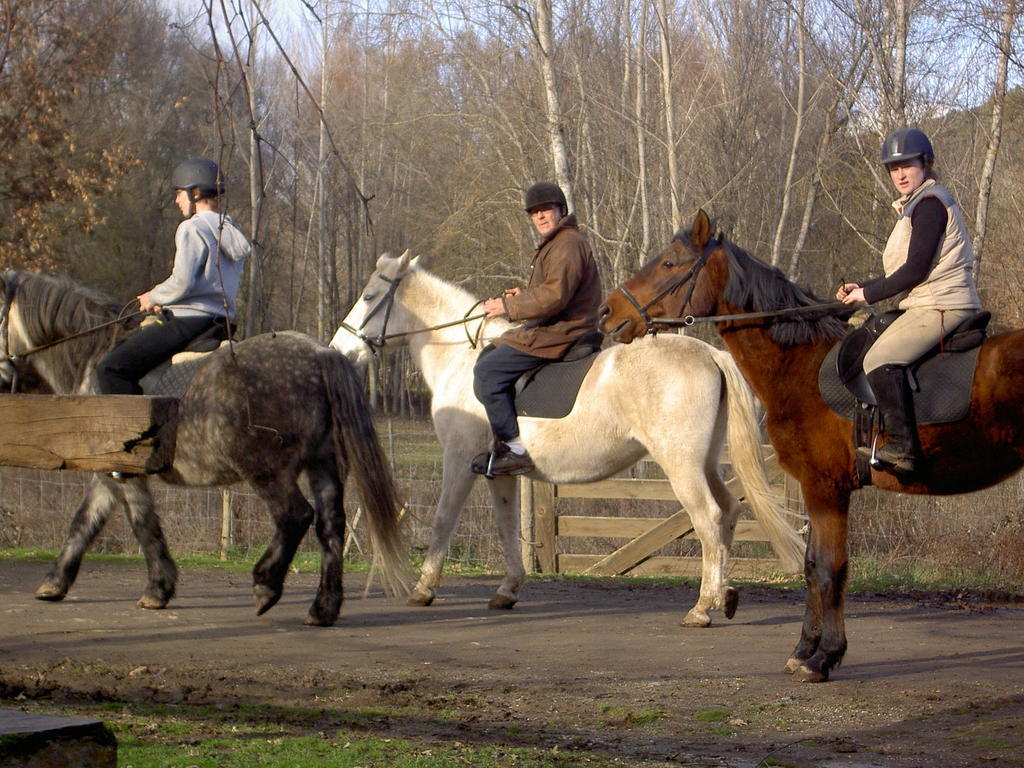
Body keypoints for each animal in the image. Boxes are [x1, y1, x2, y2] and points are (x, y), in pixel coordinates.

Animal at [331, 256, 802, 626]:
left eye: (369, 297)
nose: (340, 351)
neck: (462, 358)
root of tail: (710, 354)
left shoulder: (459, 456)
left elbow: (445, 517)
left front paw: (424, 588)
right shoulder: (497, 470)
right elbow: (506, 525)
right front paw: (508, 589)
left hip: (681, 464)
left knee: (707, 517)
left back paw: (702, 608)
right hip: (704, 461)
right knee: (728, 512)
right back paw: (724, 596)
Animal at [598, 208, 1024, 679]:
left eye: (669, 263)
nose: (607, 311)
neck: (801, 362)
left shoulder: (825, 489)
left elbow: (829, 569)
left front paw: (823, 658)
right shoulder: (814, 489)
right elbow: (811, 565)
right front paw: (805, 649)